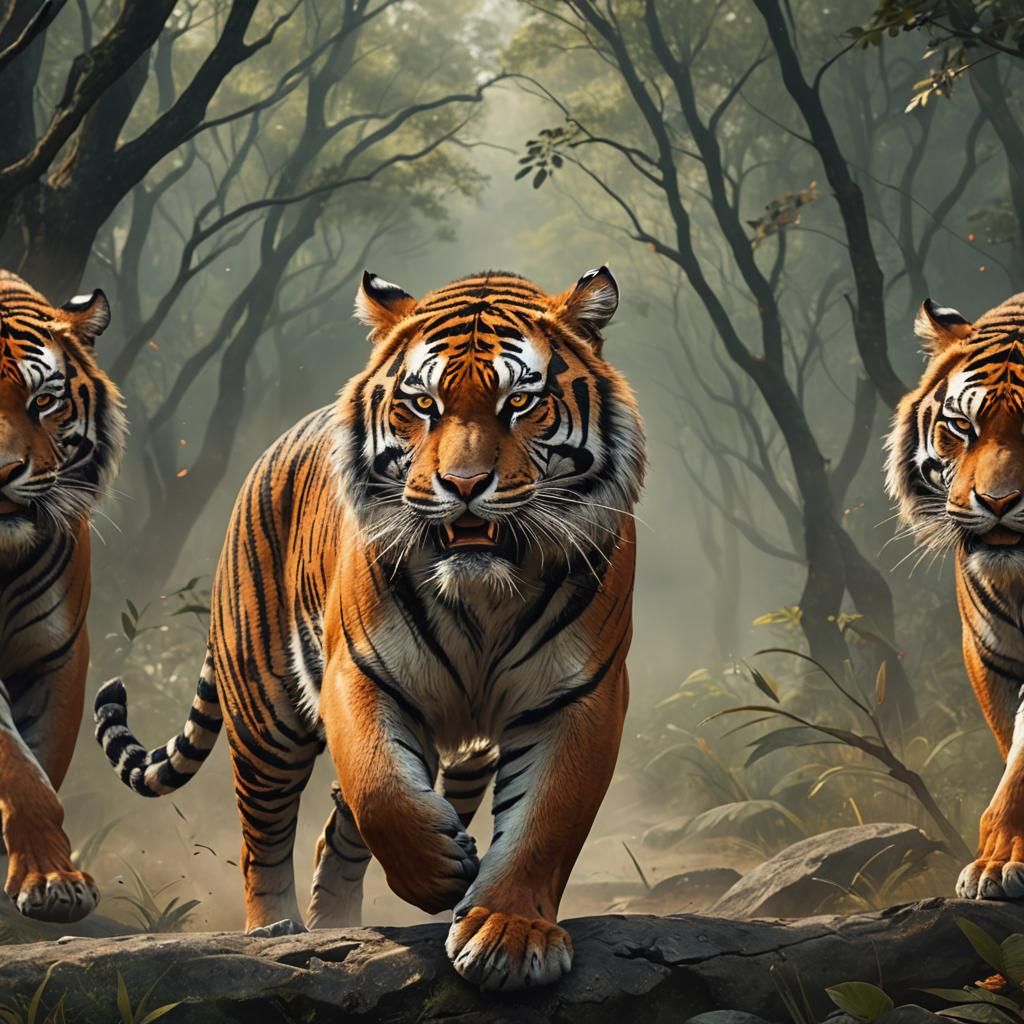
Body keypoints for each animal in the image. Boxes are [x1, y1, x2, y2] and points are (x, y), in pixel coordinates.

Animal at [94, 266, 645, 989]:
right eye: (423, 405)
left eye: (520, 404)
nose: (463, 484)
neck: (484, 593)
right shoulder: (360, 670)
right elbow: (380, 787)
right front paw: (438, 873)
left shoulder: (579, 695)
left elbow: (544, 821)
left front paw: (508, 933)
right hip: (265, 715)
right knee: (264, 835)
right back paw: (276, 931)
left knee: (336, 828)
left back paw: (337, 927)